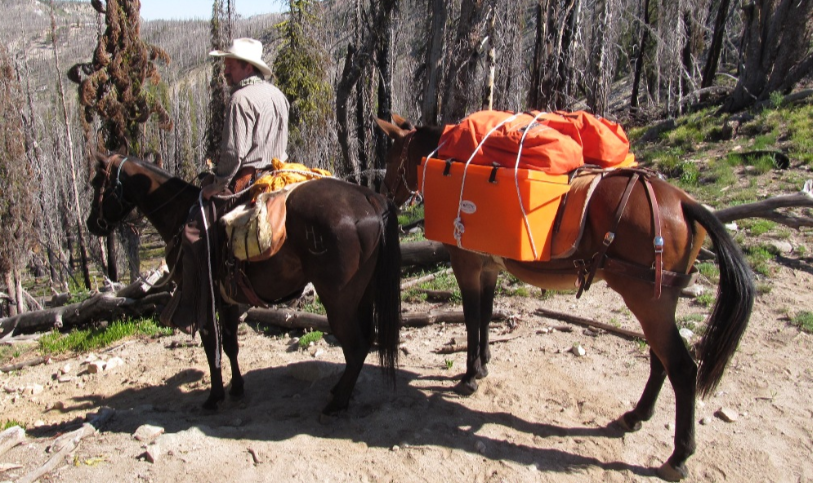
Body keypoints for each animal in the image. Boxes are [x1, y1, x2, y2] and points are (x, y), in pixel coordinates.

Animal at [87, 154, 402, 416]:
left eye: (96, 182)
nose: (92, 224)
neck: (179, 212)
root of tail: (369, 196)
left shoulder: (204, 296)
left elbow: (210, 344)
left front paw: (214, 397)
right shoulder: (227, 298)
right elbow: (230, 344)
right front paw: (236, 388)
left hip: (338, 301)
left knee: (356, 346)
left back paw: (337, 404)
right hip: (363, 296)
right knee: (364, 341)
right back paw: (338, 391)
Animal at [378, 116, 752, 480]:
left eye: (391, 157)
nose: (386, 198)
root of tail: (685, 203)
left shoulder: (466, 264)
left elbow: (471, 320)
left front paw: (469, 376)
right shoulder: (488, 268)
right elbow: (485, 317)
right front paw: (483, 364)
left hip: (649, 303)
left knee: (682, 369)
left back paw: (678, 455)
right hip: (658, 303)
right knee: (660, 361)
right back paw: (636, 416)